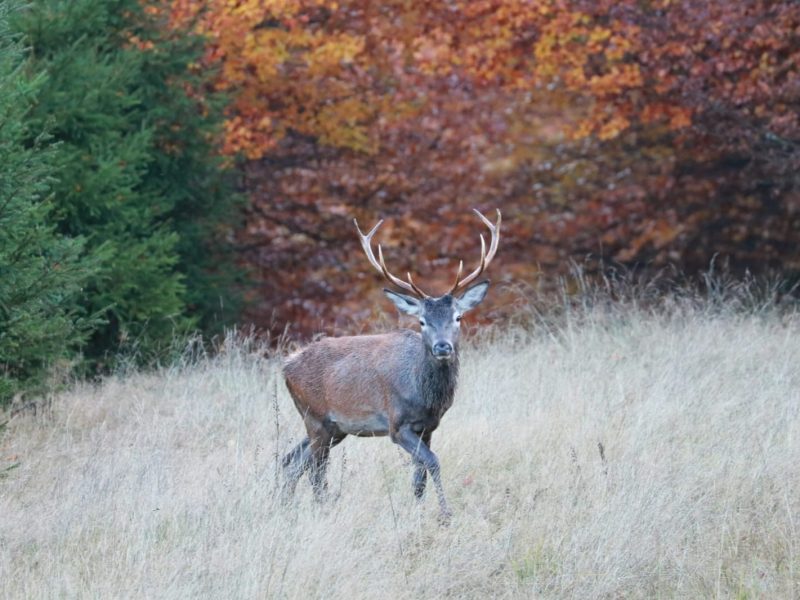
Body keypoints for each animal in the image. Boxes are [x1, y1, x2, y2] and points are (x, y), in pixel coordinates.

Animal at [281, 208, 501, 521]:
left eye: (458, 317)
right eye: (421, 321)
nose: (442, 346)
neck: (426, 396)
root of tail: (286, 366)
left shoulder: (429, 427)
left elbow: (419, 476)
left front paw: (420, 512)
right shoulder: (397, 424)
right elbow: (433, 462)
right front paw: (445, 515)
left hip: (333, 427)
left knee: (291, 461)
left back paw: (284, 508)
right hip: (316, 417)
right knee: (315, 471)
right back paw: (318, 509)